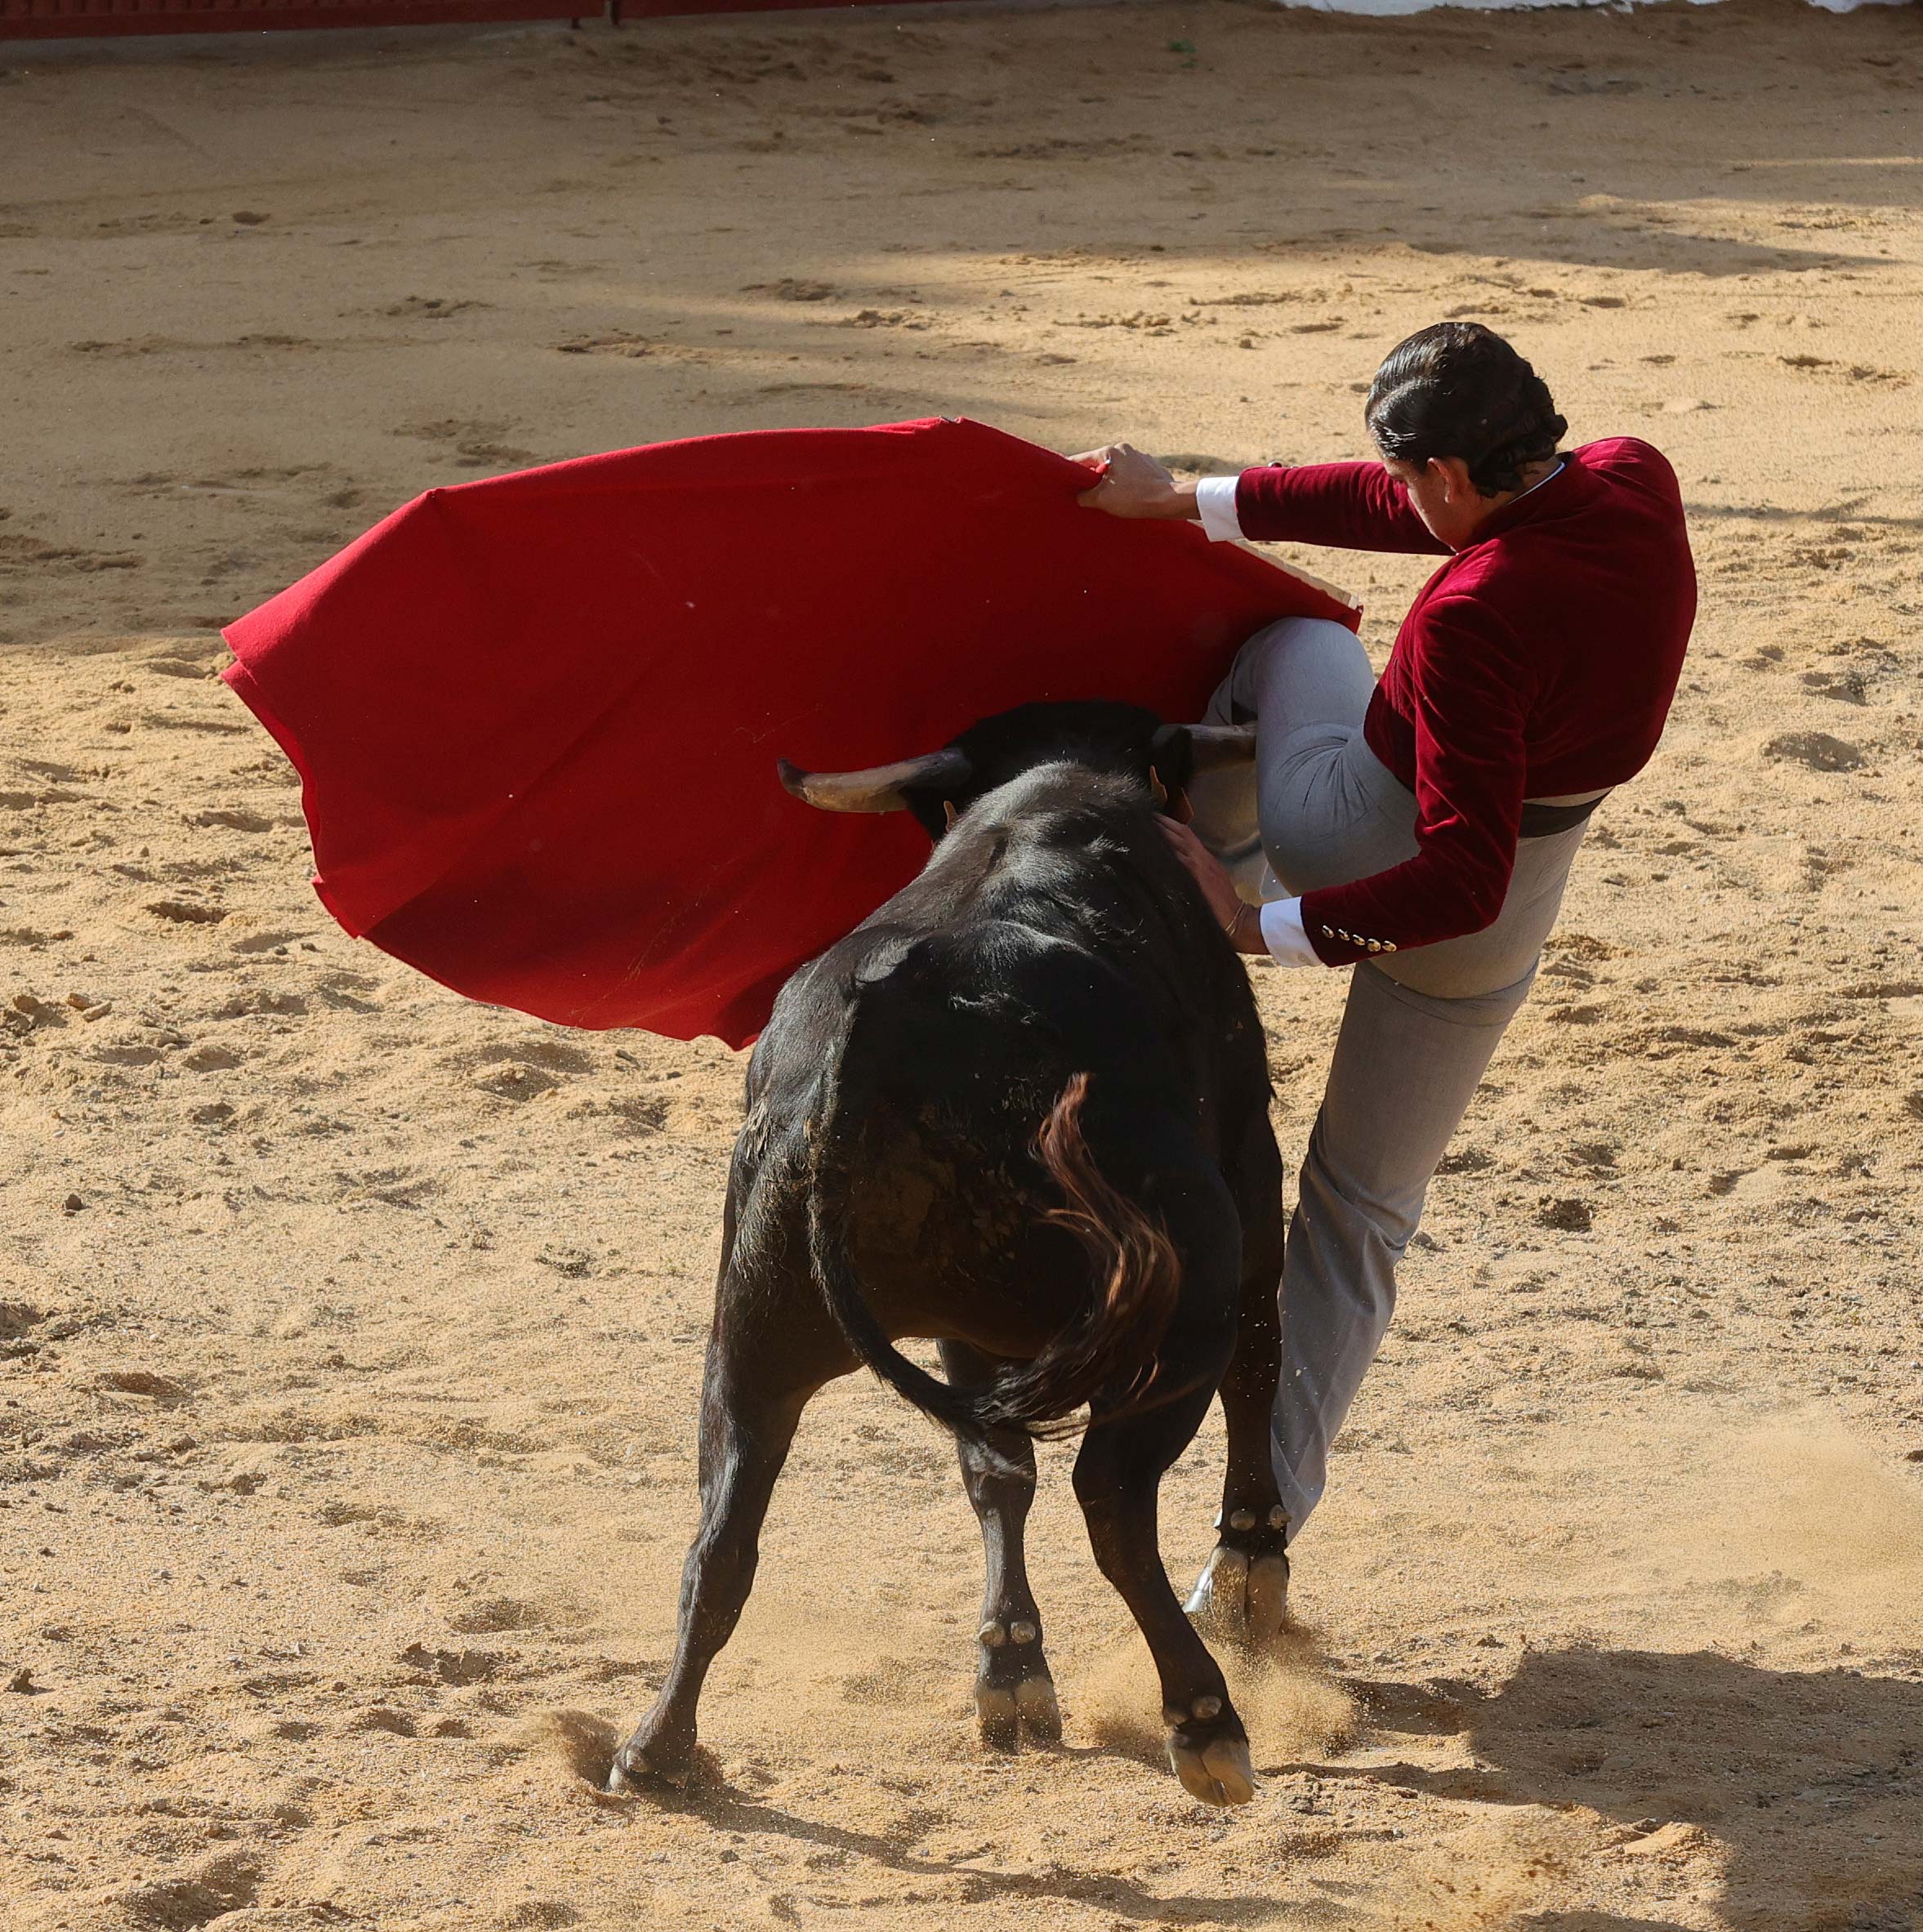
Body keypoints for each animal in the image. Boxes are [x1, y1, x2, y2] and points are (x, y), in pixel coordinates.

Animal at [614, 707, 1291, 1808]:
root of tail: (890, 1017)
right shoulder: (1249, 1167)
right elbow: (1259, 1362)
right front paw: (1251, 1563)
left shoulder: (969, 1334)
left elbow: (993, 1473)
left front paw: (1010, 1667)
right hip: (1180, 1298)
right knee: (1114, 1495)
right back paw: (1204, 1719)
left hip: (753, 1333)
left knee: (721, 1541)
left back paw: (657, 1747)